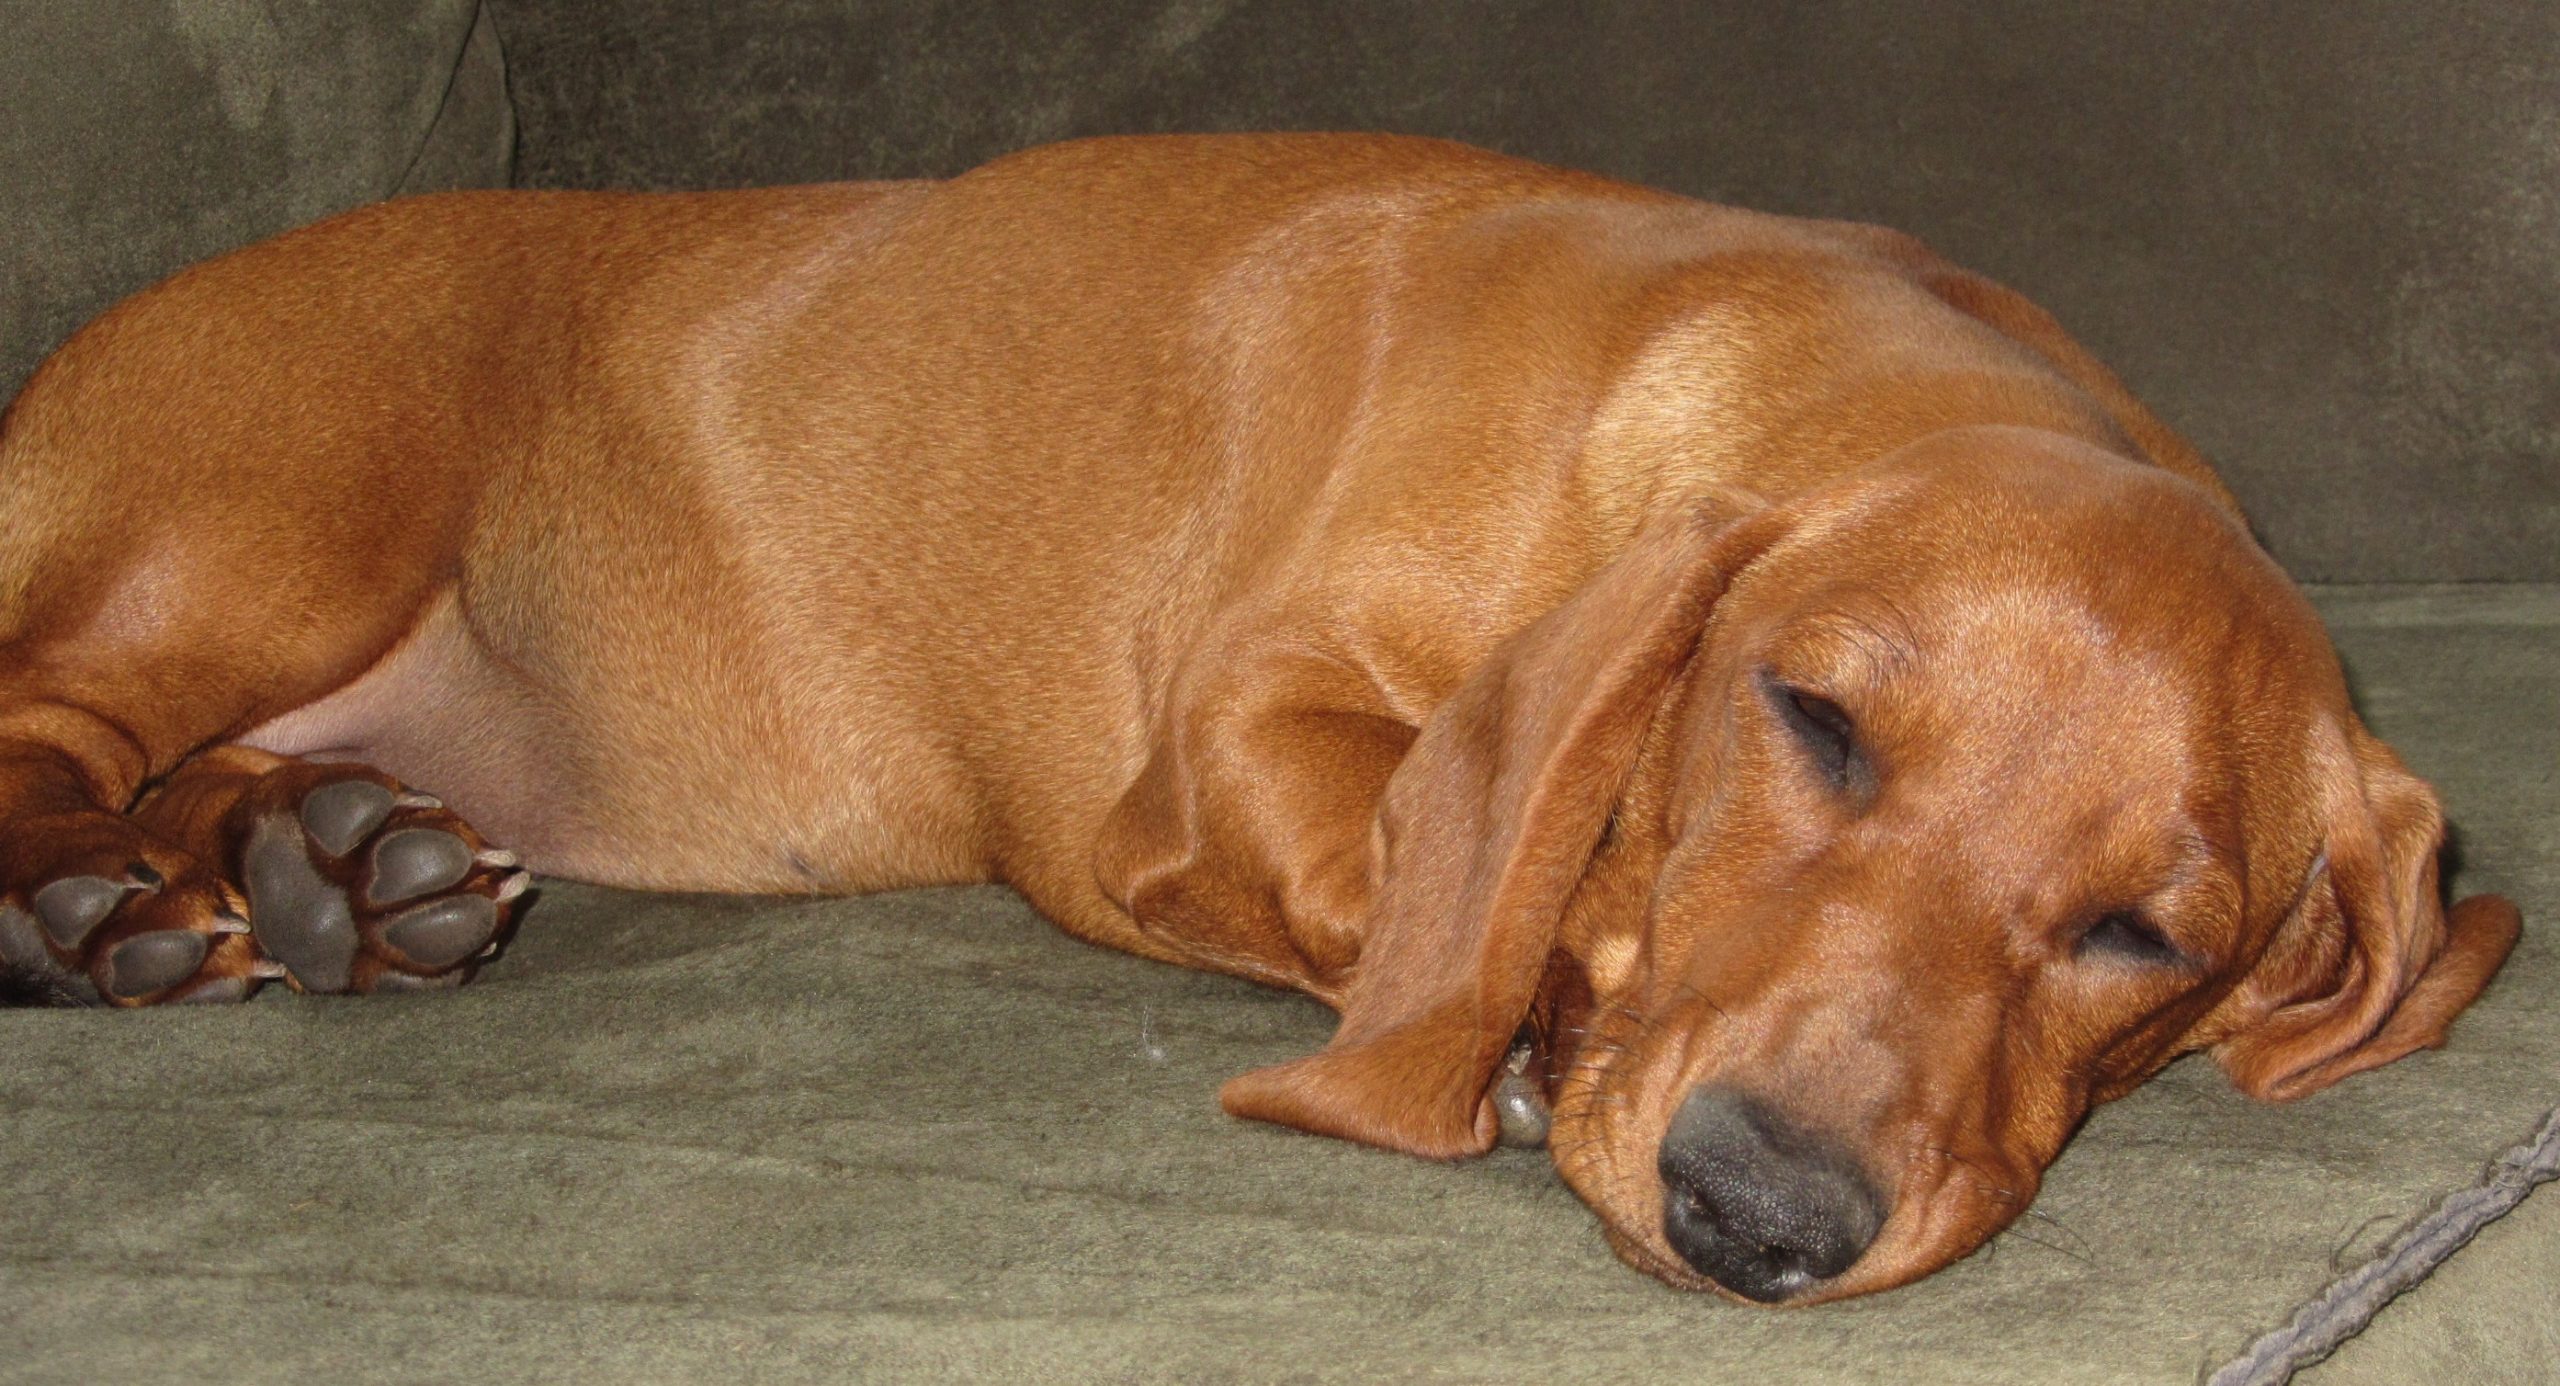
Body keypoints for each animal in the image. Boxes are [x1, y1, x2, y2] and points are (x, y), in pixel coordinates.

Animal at [0, 134, 2518, 1303]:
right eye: (1810, 722)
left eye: (2140, 938)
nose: (1755, 1217)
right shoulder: (1218, 735)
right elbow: (1393, 853)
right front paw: (1516, 1017)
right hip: (263, 523)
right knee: (53, 730)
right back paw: (104, 915)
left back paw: (340, 871)